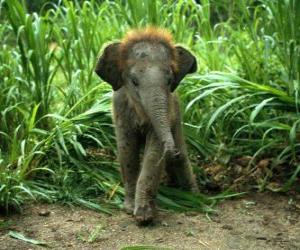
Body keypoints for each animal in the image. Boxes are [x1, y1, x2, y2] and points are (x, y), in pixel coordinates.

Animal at [95, 26, 199, 225]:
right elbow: (127, 149)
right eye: (134, 82)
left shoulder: (168, 110)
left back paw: (194, 196)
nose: (172, 151)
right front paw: (130, 209)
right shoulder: (120, 108)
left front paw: (144, 216)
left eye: (169, 81)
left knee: (182, 159)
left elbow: (153, 152)